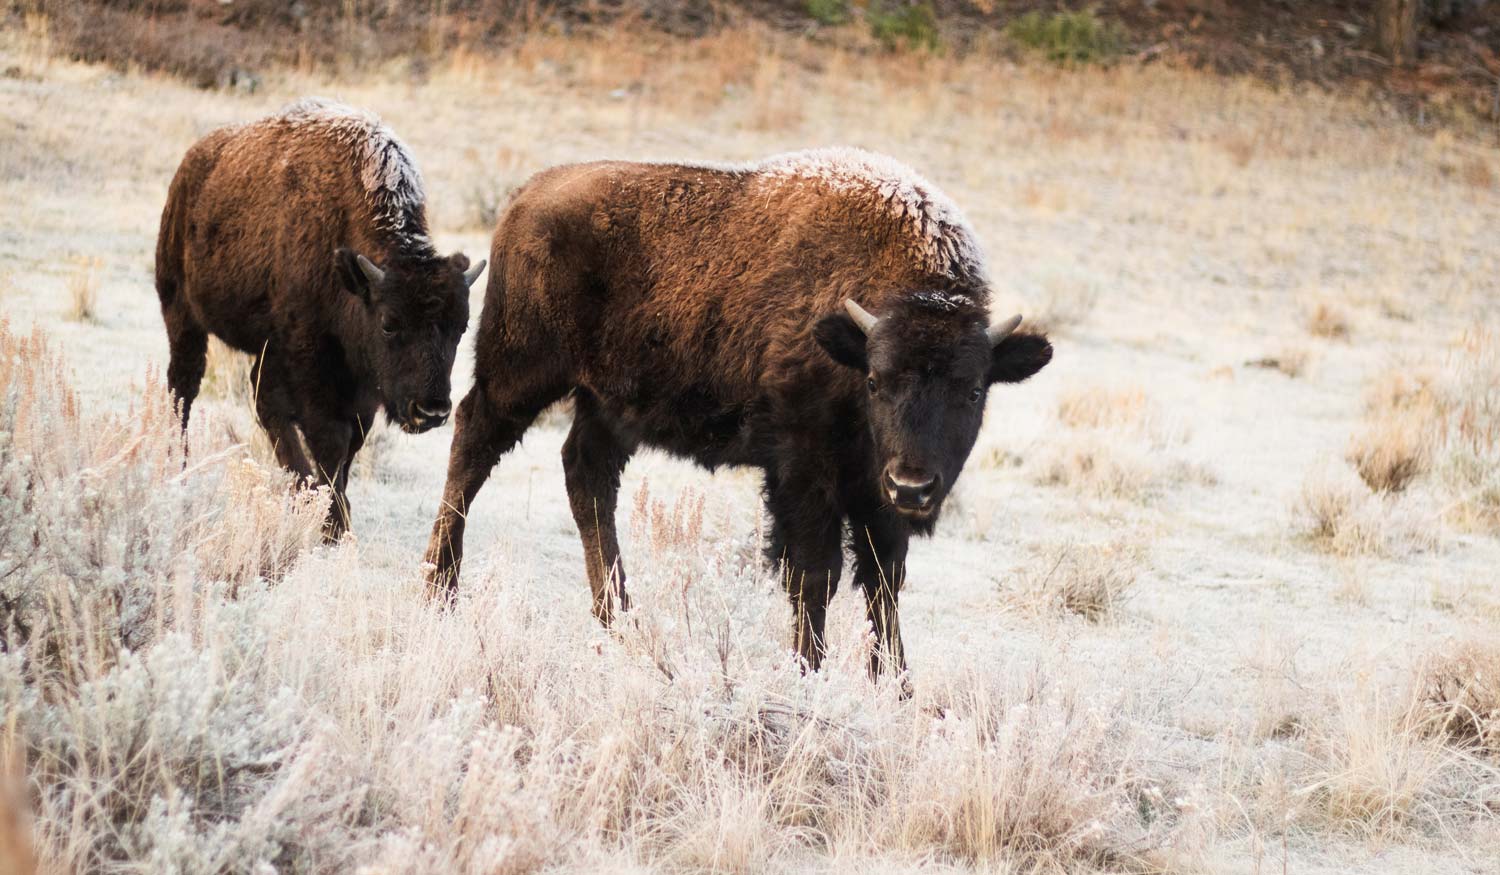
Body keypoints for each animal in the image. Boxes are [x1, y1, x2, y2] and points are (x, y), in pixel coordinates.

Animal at [155, 98, 484, 537]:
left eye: (461, 328)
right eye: (389, 323)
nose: (431, 411)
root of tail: (191, 166)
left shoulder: (358, 379)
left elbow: (350, 442)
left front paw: (333, 511)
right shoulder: (310, 360)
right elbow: (330, 438)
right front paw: (332, 524)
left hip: (263, 345)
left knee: (261, 401)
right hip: (182, 315)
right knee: (184, 387)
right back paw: (179, 465)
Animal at [424, 149, 1051, 675]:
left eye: (973, 391)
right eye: (875, 380)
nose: (914, 486)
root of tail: (527, 196)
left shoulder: (876, 493)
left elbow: (883, 582)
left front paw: (897, 688)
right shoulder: (803, 469)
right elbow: (814, 574)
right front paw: (809, 673)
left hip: (606, 405)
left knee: (587, 477)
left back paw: (621, 621)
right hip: (520, 371)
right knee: (473, 444)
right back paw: (440, 589)